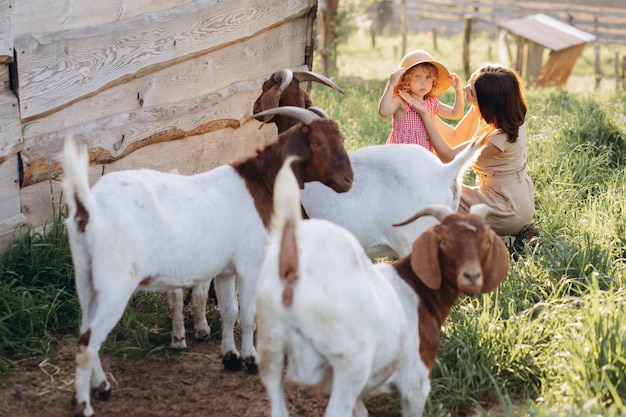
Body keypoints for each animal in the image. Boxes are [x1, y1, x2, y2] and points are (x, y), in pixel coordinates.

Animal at [63, 108, 354, 416]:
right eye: (318, 143)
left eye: (340, 138)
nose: (348, 180)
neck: (260, 184)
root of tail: (89, 207)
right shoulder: (250, 266)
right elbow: (248, 315)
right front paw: (251, 359)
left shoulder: (226, 271)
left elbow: (229, 311)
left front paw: (230, 357)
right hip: (115, 284)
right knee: (89, 340)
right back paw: (84, 403)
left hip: (87, 280)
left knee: (85, 333)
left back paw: (102, 387)